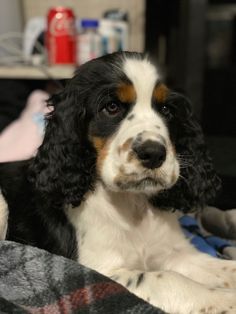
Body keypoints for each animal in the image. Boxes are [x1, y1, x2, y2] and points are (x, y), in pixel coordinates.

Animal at [0, 52, 236, 314]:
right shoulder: (101, 270)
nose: (153, 154)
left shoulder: (178, 254)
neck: (132, 204)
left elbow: (225, 267)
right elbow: (167, 278)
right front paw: (227, 300)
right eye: (111, 107)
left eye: (166, 109)